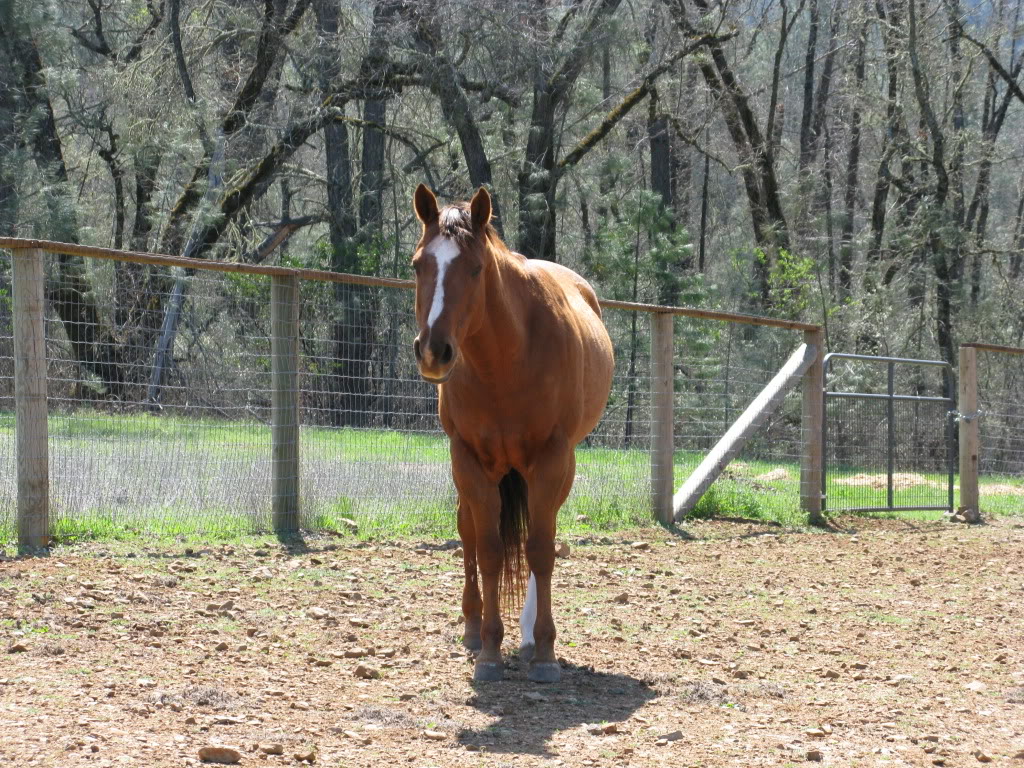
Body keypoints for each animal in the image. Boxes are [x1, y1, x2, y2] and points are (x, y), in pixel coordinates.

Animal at [409, 185, 614, 684]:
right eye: (417, 264)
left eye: (475, 268)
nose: (434, 352)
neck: (505, 360)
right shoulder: (467, 460)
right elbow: (488, 550)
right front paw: (487, 650)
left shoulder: (551, 460)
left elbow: (539, 550)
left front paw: (543, 651)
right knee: (469, 532)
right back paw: (471, 626)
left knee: (541, 535)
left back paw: (525, 637)